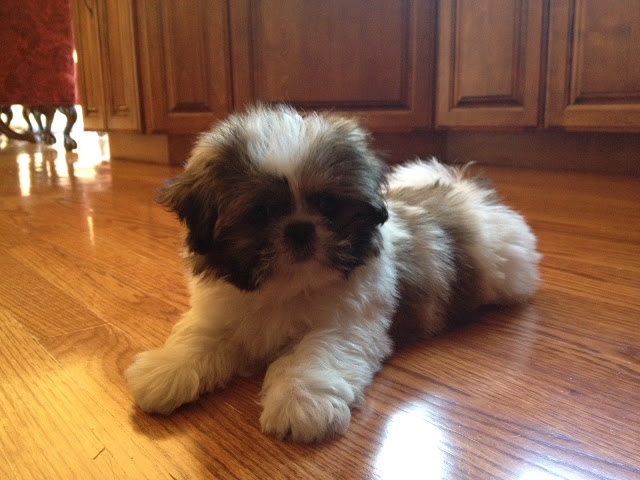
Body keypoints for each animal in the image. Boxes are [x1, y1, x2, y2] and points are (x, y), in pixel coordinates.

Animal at [125, 104, 540, 442]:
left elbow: (315, 355)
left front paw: (300, 402)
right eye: (261, 213)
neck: (285, 287)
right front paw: (166, 369)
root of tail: (465, 190)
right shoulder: (221, 311)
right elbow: (198, 338)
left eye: (327, 206)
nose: (300, 228)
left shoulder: (347, 324)